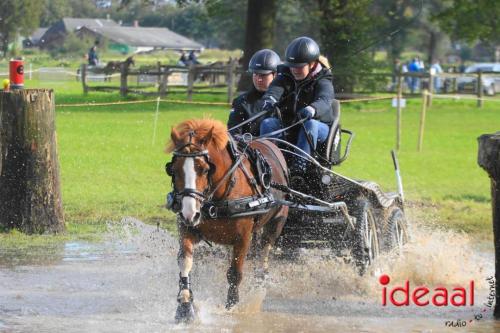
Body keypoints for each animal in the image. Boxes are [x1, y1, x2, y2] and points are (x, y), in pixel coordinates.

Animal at [165, 118, 288, 320]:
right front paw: (184, 306)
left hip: (276, 223)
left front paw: (232, 306)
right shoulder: (187, 228)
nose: (189, 212)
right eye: (173, 170)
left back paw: (260, 285)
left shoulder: (243, 237)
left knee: (264, 252)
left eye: (204, 169)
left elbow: (235, 273)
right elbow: (185, 261)